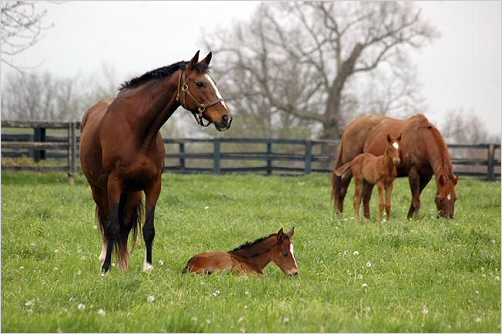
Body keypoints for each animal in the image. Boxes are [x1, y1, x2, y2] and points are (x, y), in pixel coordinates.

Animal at [80, 51, 233, 272]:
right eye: (200, 83)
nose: (226, 118)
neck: (137, 131)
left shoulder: (153, 184)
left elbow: (148, 228)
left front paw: (148, 267)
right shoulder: (114, 184)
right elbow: (112, 227)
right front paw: (106, 268)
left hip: (132, 192)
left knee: (125, 224)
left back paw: (123, 263)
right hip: (98, 189)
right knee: (106, 220)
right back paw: (105, 259)